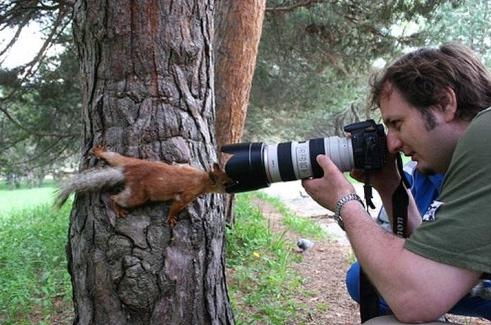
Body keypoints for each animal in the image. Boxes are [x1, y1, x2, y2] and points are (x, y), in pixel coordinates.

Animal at [54, 146, 232, 225]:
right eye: (225, 183)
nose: (233, 188)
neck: (202, 178)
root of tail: (125, 171)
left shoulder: (189, 168)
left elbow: (180, 165)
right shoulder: (187, 194)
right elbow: (176, 205)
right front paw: (171, 218)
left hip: (123, 159)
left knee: (111, 156)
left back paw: (98, 151)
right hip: (138, 194)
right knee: (114, 198)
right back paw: (117, 209)